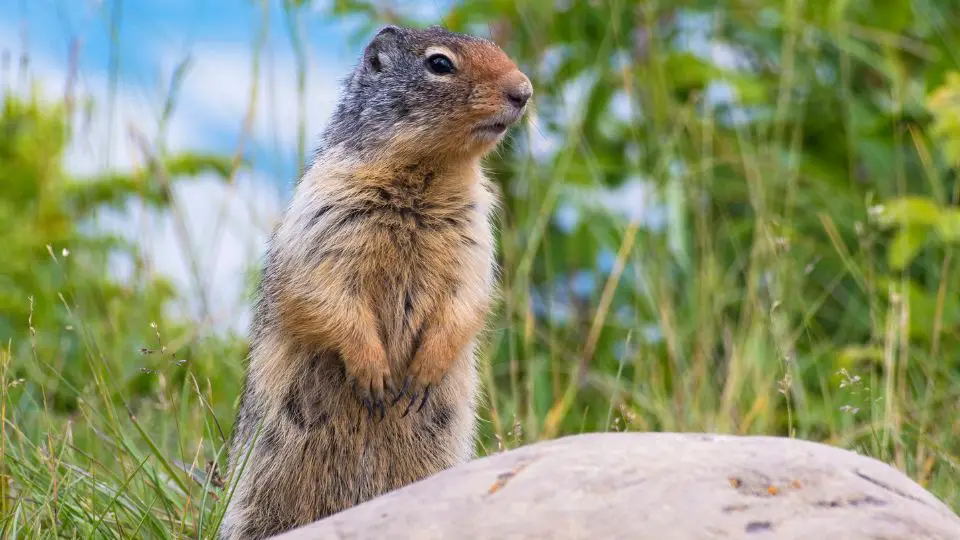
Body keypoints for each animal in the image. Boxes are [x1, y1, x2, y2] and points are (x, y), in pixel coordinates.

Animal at [220, 23, 532, 536]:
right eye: (439, 63)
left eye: (497, 48)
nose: (524, 91)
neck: (424, 178)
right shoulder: (327, 215)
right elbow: (322, 289)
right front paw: (374, 374)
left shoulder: (474, 235)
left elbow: (465, 297)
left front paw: (424, 371)